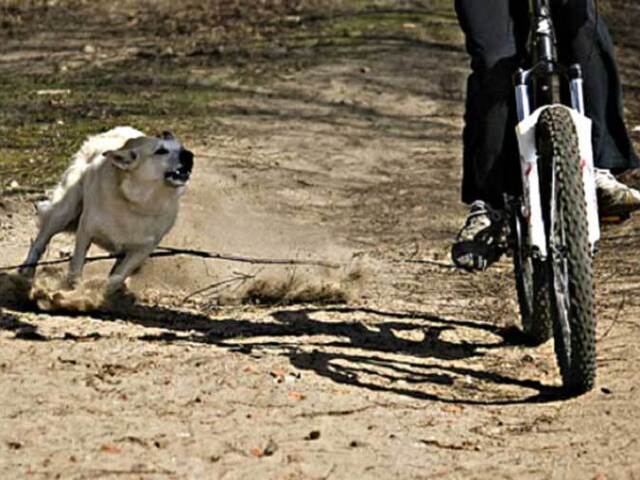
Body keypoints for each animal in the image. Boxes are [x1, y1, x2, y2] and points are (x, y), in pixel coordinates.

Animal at [20, 127, 195, 292]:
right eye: (161, 151)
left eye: (181, 147)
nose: (189, 155)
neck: (136, 203)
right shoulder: (85, 231)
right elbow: (77, 265)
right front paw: (74, 290)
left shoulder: (142, 250)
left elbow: (118, 276)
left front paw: (101, 293)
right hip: (64, 211)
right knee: (40, 241)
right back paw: (26, 272)